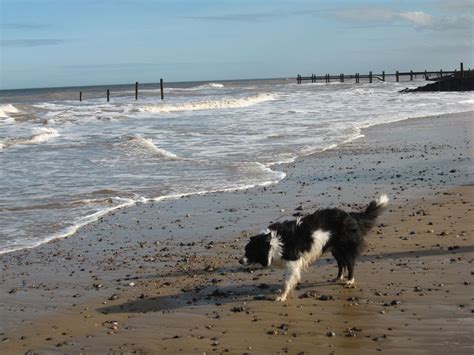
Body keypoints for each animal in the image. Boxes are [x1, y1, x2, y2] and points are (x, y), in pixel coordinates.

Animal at [239, 196, 386, 302]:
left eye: (249, 250)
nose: (240, 261)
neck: (273, 243)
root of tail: (351, 216)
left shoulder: (292, 262)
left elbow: (286, 282)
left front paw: (281, 296)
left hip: (346, 248)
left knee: (350, 264)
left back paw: (349, 280)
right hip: (335, 249)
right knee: (341, 264)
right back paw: (338, 277)